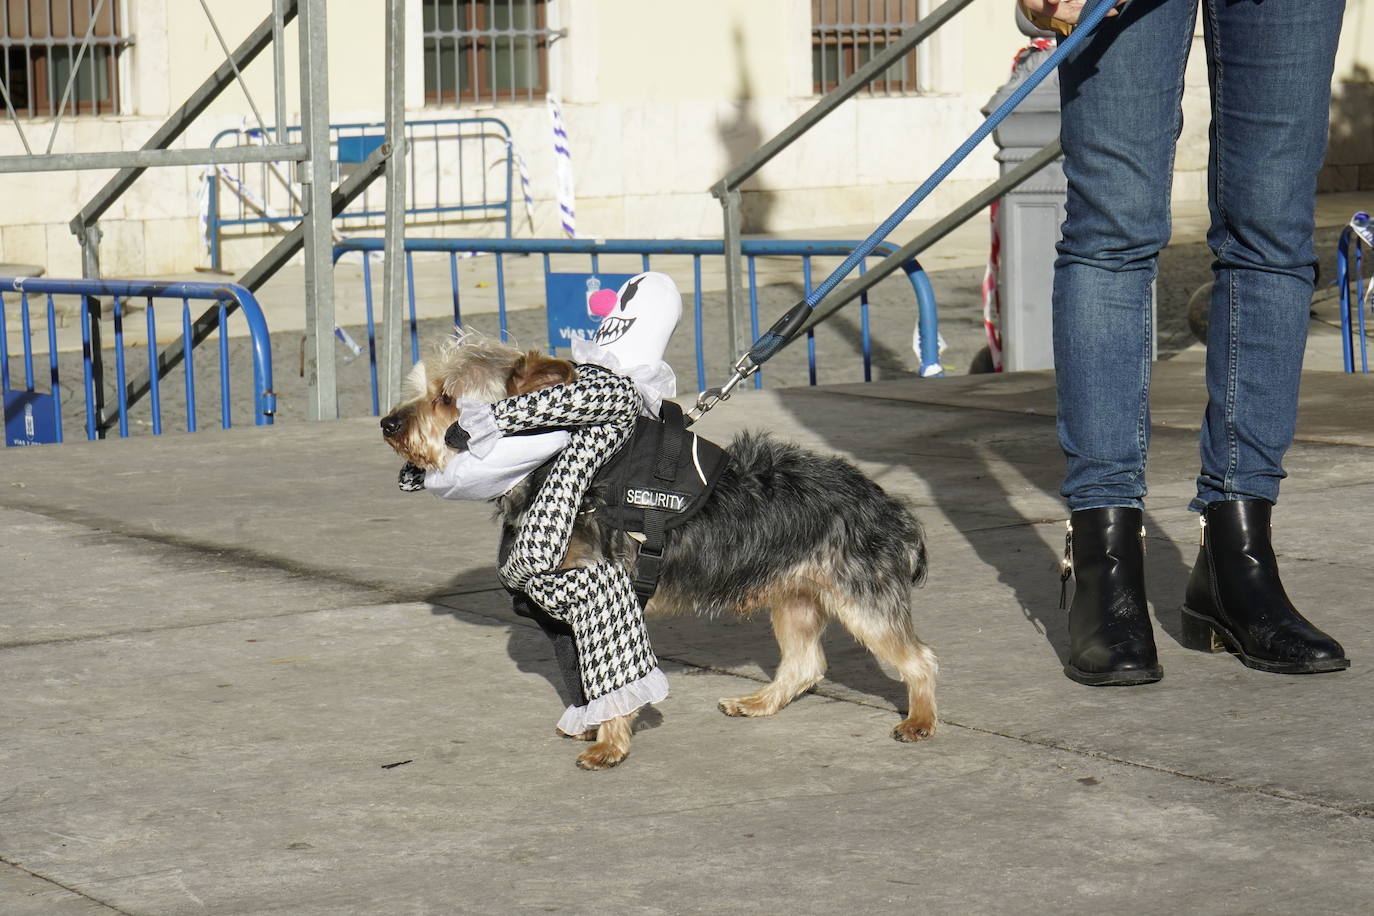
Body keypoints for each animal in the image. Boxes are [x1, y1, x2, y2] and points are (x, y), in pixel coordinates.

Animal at [381, 333, 939, 769]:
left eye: (447, 398)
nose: (388, 423)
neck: (553, 464)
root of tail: (890, 506)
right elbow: (588, 679)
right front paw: (594, 725)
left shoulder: (602, 594)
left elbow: (615, 679)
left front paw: (608, 746)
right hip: (793, 592)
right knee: (805, 663)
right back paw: (758, 703)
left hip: (860, 595)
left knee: (918, 657)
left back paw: (920, 719)